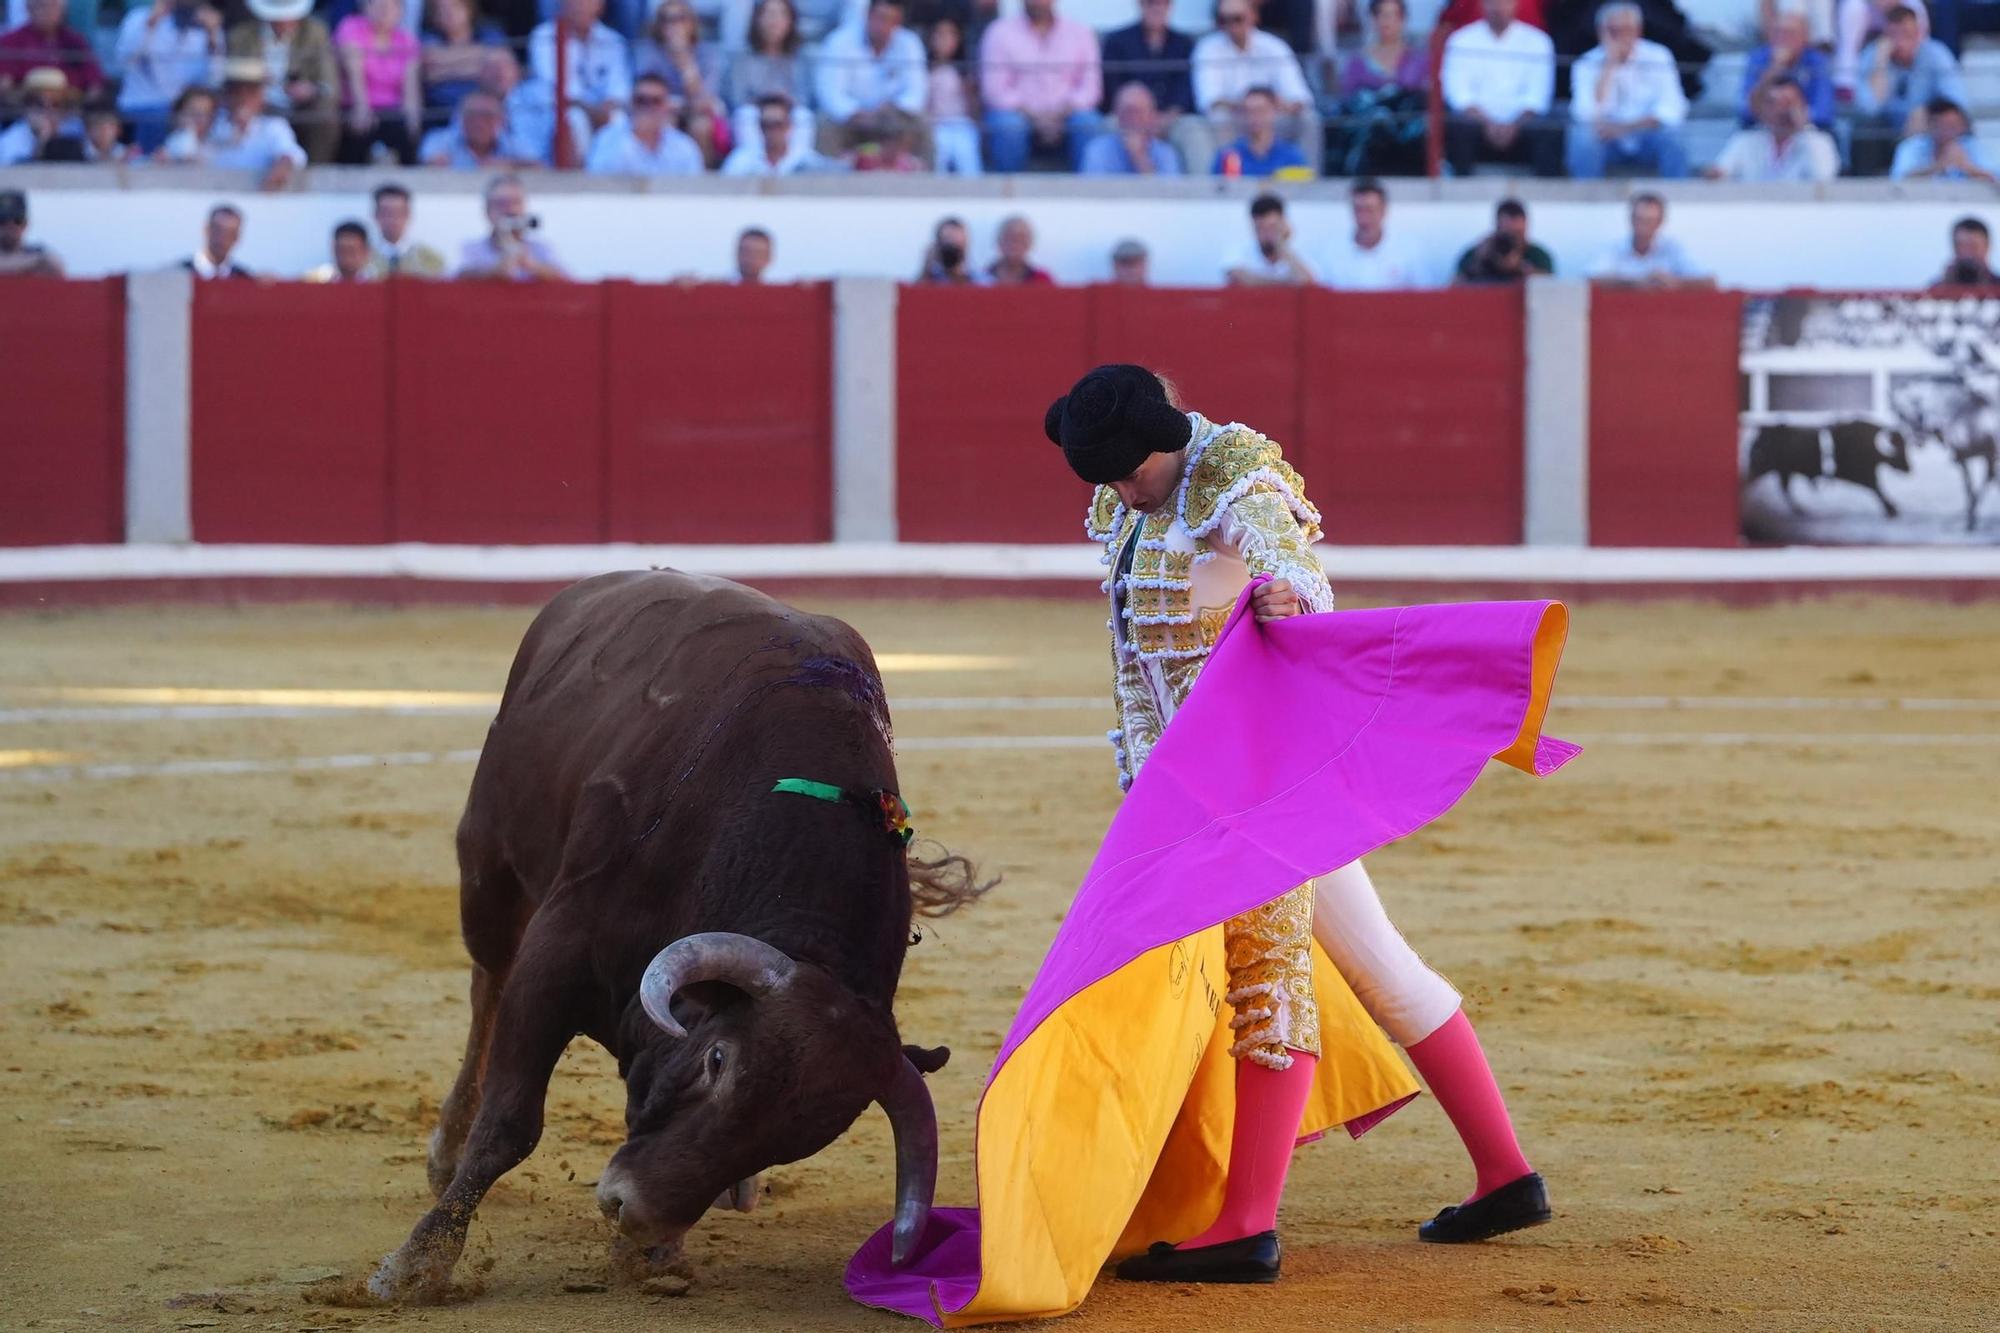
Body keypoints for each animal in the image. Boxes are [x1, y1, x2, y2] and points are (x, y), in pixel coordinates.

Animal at [366, 568, 984, 1296]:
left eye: (802, 1138)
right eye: (716, 1060)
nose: (635, 1211)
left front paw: (659, 1249)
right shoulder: (559, 950)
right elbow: (509, 1124)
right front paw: (417, 1264)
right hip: (488, 867)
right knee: (486, 983)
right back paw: (445, 1148)